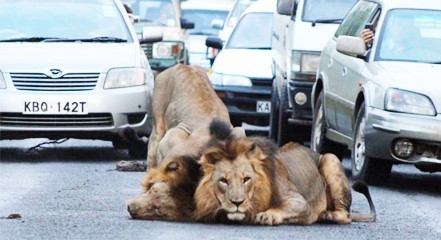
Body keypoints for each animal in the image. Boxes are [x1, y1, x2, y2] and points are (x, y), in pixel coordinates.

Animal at [192, 120, 374, 225]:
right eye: (223, 181)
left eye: (246, 179)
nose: (237, 202)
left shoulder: (300, 203)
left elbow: (285, 207)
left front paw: (268, 216)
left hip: (330, 158)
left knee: (346, 215)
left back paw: (327, 215)